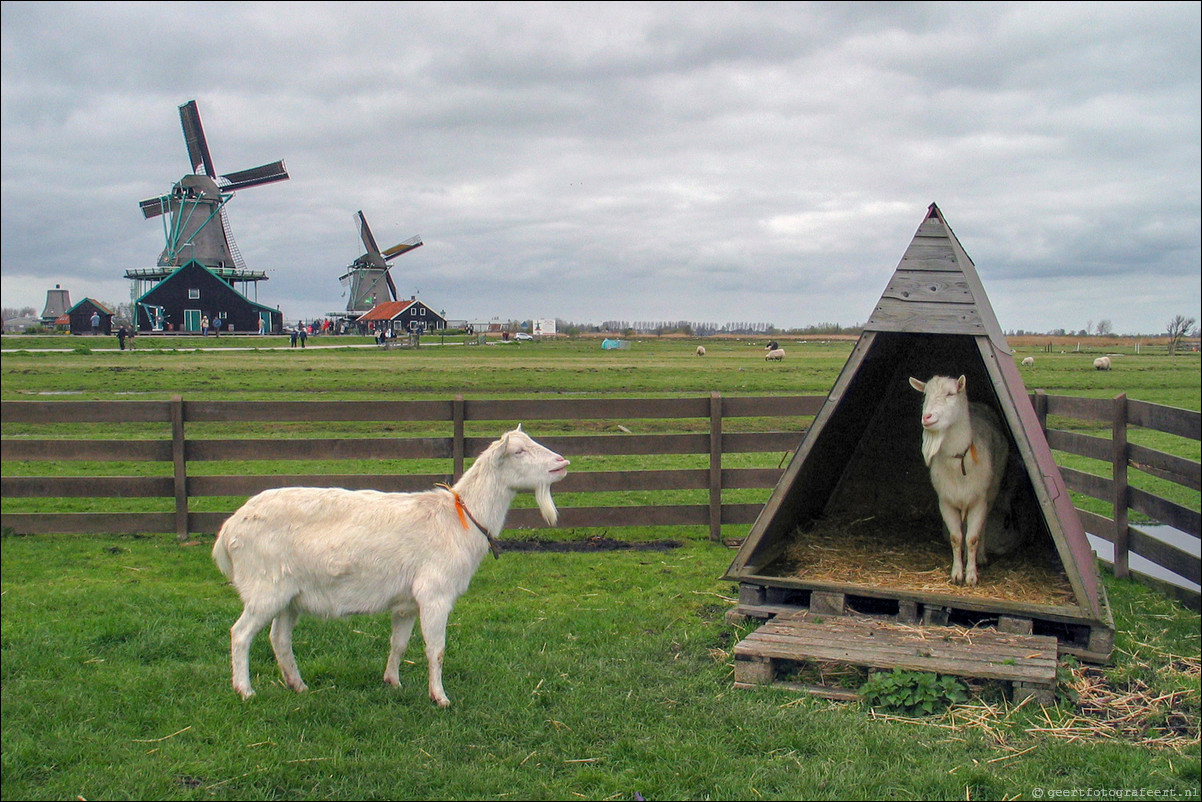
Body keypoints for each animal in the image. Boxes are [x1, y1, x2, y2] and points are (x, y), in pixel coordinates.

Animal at [213, 425, 569, 707]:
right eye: (520, 451)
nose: (562, 463)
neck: (458, 518)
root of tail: (228, 530)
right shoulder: (435, 594)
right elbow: (436, 649)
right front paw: (440, 697)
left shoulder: (407, 603)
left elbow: (398, 644)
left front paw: (393, 682)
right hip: (265, 588)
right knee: (240, 634)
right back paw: (245, 690)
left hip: (289, 596)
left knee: (279, 639)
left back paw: (298, 686)